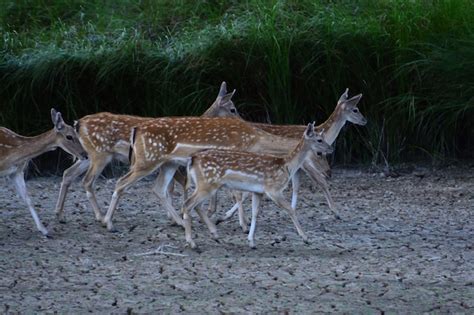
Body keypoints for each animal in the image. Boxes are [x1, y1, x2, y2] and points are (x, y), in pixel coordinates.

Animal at [54, 82, 241, 225]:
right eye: (232, 109)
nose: (242, 121)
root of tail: (78, 123)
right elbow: (178, 186)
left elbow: (172, 188)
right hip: (100, 154)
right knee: (87, 181)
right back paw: (101, 217)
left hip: (87, 155)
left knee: (68, 173)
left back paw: (60, 214)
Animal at [181, 123, 334, 249]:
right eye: (319, 140)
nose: (331, 149)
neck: (286, 166)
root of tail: (192, 159)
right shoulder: (273, 189)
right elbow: (290, 209)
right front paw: (305, 238)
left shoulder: (258, 192)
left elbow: (255, 213)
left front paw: (251, 241)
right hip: (207, 184)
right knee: (188, 204)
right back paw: (192, 242)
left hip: (205, 185)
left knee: (196, 205)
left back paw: (213, 235)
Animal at [218, 89, 366, 230]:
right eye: (355, 109)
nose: (365, 120)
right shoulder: (306, 162)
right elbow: (321, 182)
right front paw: (336, 213)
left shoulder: (297, 167)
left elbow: (295, 187)